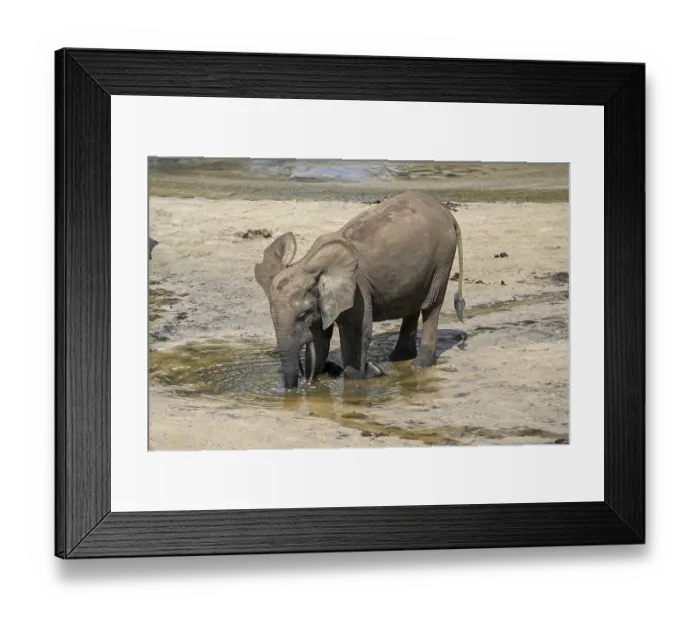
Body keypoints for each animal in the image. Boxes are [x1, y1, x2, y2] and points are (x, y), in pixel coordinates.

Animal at [254, 190, 466, 389]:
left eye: (302, 315)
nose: (304, 383)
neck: (310, 263)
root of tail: (447, 212)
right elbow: (320, 337)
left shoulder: (357, 290)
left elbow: (356, 333)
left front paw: (358, 378)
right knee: (413, 304)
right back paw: (398, 358)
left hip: (442, 258)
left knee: (431, 305)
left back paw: (419, 364)